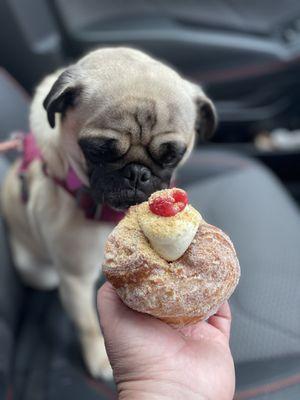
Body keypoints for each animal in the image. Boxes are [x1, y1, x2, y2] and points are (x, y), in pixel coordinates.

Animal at [0, 47, 216, 378]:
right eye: (99, 150)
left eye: (172, 156)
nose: (137, 173)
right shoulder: (75, 278)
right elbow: (88, 323)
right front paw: (100, 359)